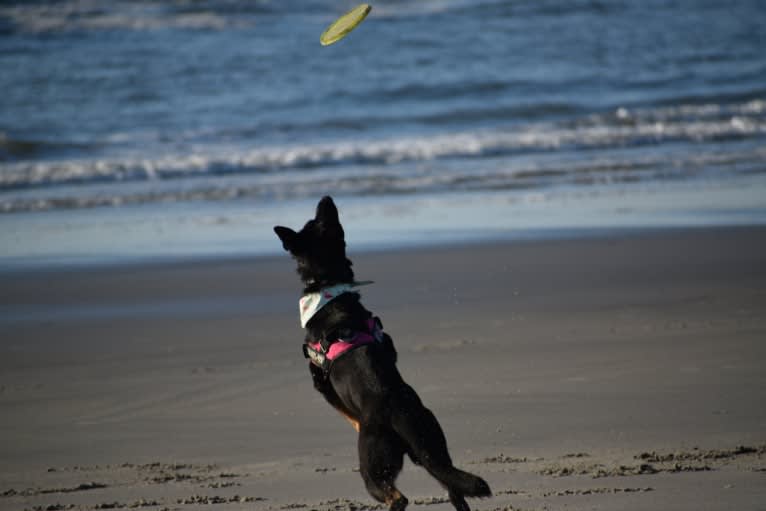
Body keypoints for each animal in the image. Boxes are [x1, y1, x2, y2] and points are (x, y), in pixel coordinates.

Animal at [276, 197, 492, 511]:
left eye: (317, 220)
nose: (326, 199)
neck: (329, 288)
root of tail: (397, 411)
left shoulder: (322, 385)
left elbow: (346, 414)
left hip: (373, 465)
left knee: (397, 496)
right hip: (432, 448)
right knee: (452, 486)